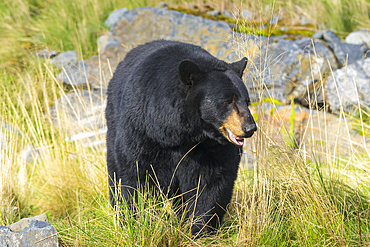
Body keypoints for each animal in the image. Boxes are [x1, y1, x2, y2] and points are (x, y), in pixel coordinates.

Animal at [105, 39, 258, 236]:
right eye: (227, 101)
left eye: (247, 101)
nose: (250, 128)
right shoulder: (143, 132)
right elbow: (139, 177)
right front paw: (142, 224)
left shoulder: (211, 149)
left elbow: (210, 183)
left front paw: (198, 230)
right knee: (115, 175)